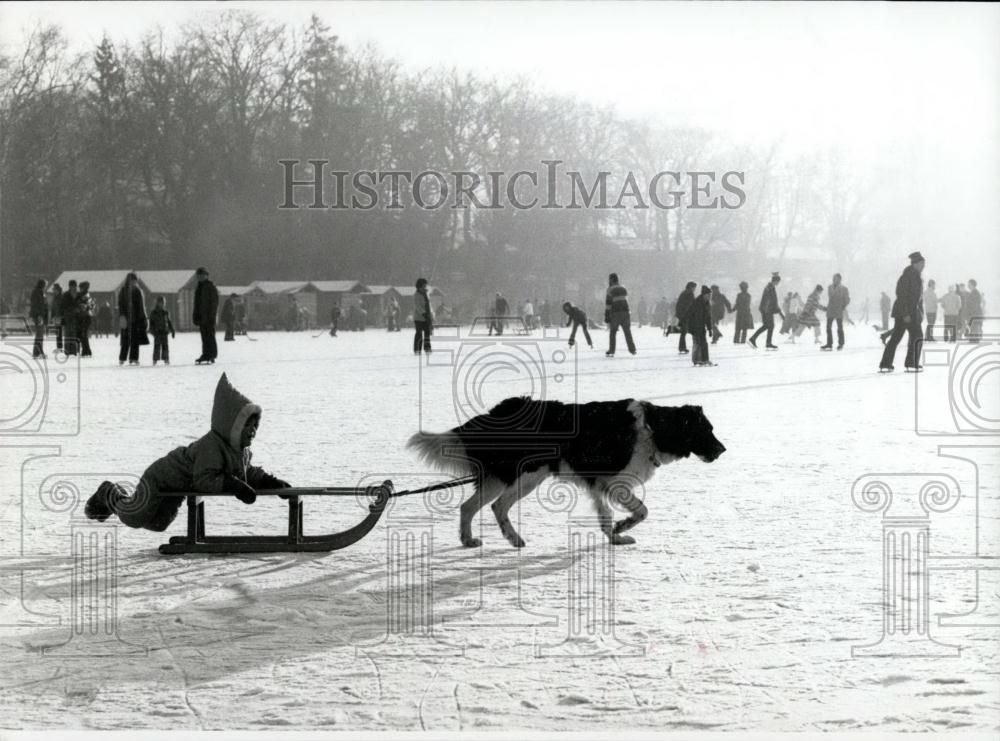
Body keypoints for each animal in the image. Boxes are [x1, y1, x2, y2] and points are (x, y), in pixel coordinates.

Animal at [408, 396, 728, 548]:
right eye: (706, 430)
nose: (723, 449)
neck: (653, 428)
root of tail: (498, 411)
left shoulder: (599, 485)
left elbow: (605, 518)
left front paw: (615, 537)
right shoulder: (615, 483)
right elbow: (641, 511)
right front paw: (623, 527)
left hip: (509, 477)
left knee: (472, 506)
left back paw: (475, 540)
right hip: (526, 474)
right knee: (495, 506)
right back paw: (510, 538)